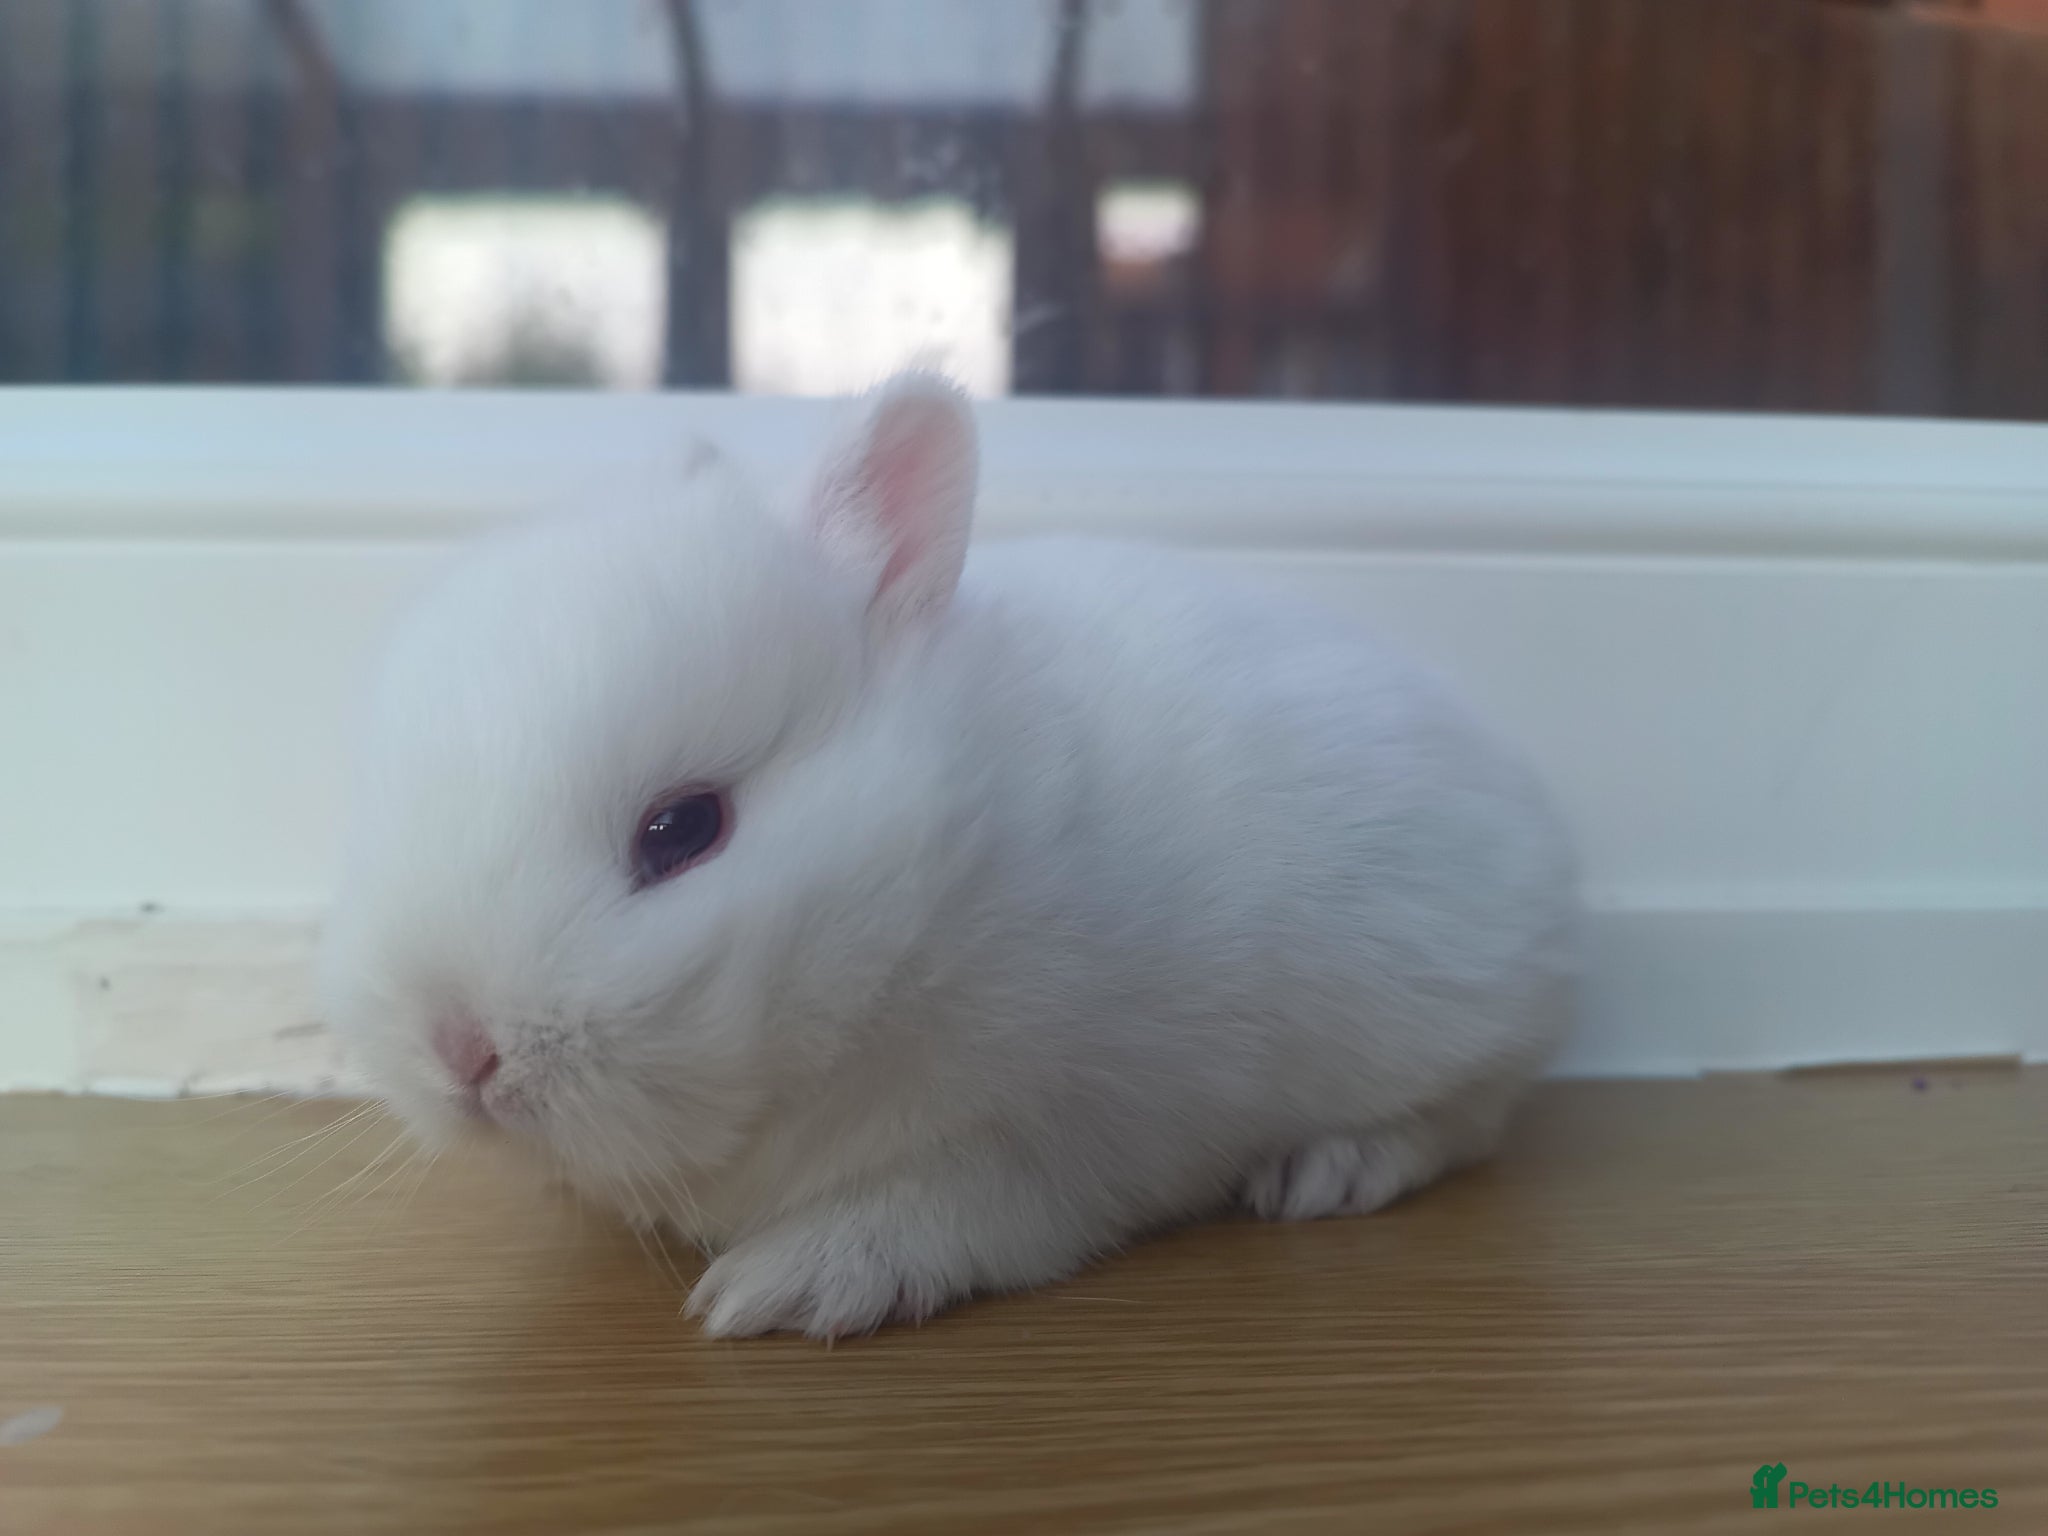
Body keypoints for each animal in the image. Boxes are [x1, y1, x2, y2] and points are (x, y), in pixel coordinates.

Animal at [316, 371, 1578, 1340]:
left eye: (684, 830)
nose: (458, 1051)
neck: (925, 876)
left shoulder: (1047, 1140)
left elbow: (932, 1218)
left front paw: (778, 1291)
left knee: (1462, 1121)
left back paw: (1324, 1172)